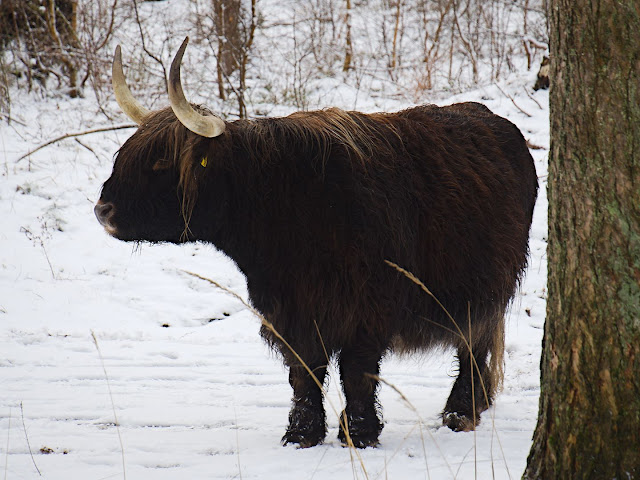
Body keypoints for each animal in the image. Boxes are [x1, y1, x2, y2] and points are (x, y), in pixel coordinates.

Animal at [97, 38, 540, 450]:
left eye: (160, 162)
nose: (103, 209)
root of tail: (493, 119)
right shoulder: (290, 310)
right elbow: (303, 372)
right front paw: (301, 434)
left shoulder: (368, 308)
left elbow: (357, 373)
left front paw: (358, 433)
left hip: (485, 288)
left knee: (473, 344)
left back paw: (460, 412)